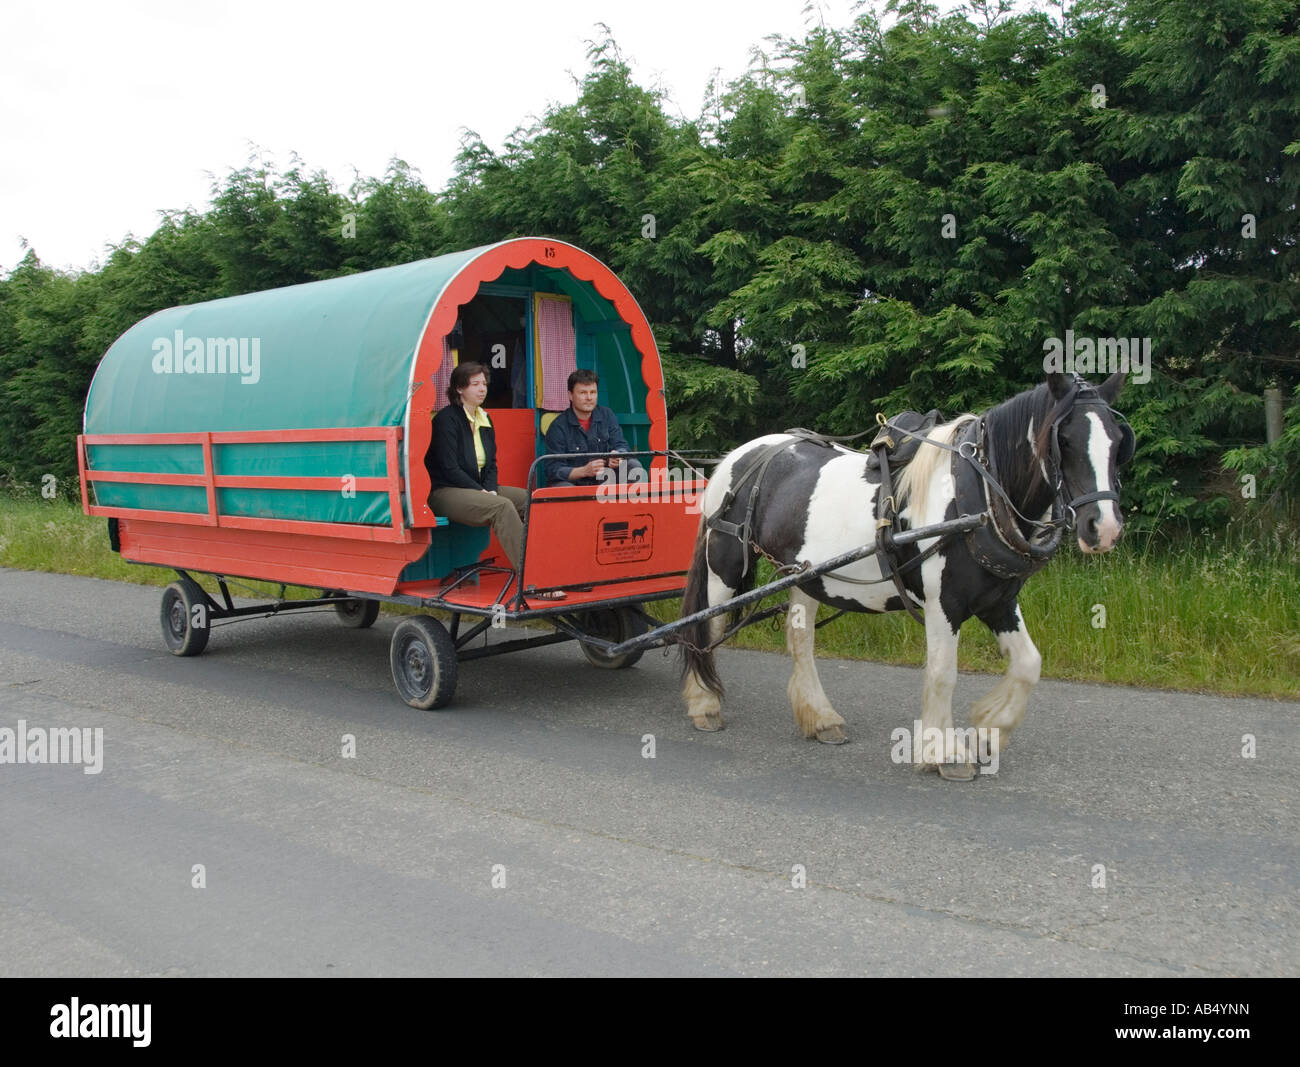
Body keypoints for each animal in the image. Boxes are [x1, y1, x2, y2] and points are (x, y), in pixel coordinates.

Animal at [678, 371, 1134, 780]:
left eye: (1117, 442)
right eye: (1065, 440)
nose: (1104, 528)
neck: (978, 497)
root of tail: (736, 458)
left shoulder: (999, 601)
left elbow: (1028, 664)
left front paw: (988, 731)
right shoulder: (943, 604)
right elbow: (943, 673)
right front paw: (944, 753)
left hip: (805, 575)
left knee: (800, 640)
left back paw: (821, 717)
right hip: (724, 566)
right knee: (706, 628)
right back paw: (704, 704)